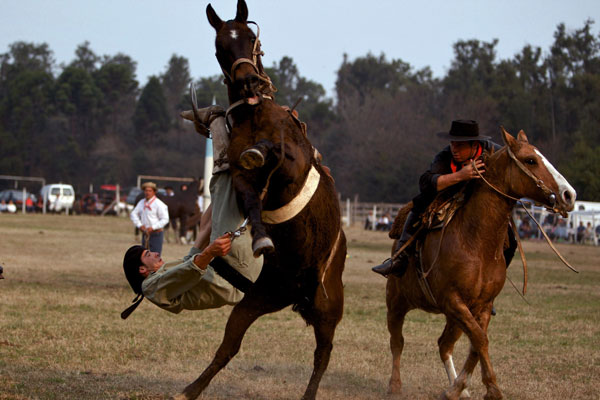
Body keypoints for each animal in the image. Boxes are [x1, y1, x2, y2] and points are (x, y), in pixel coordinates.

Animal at [173, 1, 344, 398]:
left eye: (251, 38)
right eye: (221, 46)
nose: (250, 81)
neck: (254, 116)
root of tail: (299, 294)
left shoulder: (293, 164)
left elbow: (276, 151)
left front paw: (262, 151)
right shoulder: (241, 180)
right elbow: (252, 200)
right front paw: (261, 239)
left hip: (329, 305)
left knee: (323, 354)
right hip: (259, 298)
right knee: (229, 345)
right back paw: (190, 388)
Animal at [384, 128, 576, 400]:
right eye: (530, 160)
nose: (569, 195)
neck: (475, 241)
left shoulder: (481, 305)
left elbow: (477, 342)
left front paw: (459, 387)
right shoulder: (452, 300)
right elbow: (480, 340)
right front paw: (493, 389)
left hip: (452, 317)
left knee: (444, 344)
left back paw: (458, 389)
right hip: (396, 301)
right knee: (397, 341)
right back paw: (395, 385)